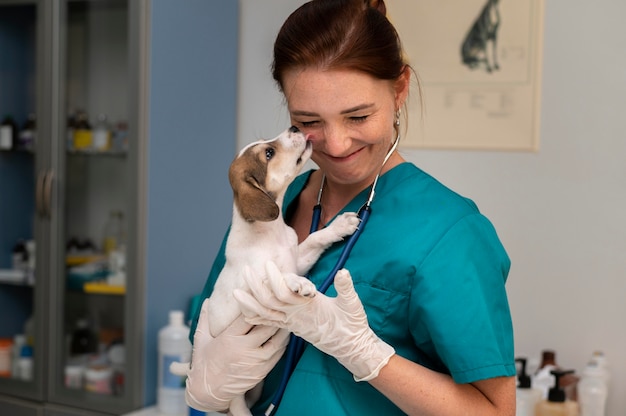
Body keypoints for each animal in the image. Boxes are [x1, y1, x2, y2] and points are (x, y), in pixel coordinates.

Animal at [186, 127, 356, 416]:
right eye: (268, 153)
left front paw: (339, 226)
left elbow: (314, 240)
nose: (295, 128)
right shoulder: (250, 288)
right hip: (233, 390)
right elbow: (275, 278)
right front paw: (299, 284)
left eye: (267, 146)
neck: (269, 233)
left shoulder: (297, 257)